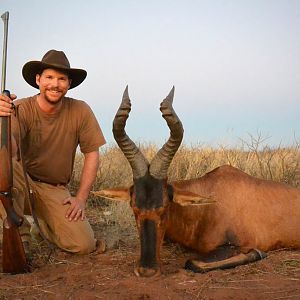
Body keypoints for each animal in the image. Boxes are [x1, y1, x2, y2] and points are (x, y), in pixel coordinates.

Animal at [95, 86, 300, 276]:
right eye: (134, 208)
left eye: (165, 207)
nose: (147, 270)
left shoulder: (234, 244)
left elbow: (192, 263)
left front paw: (257, 253)